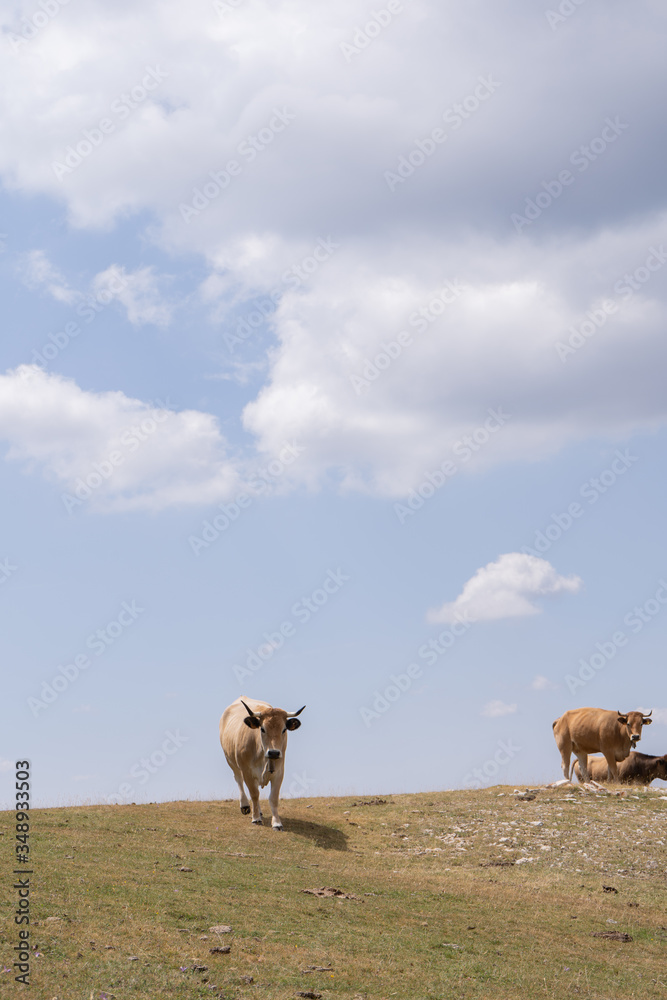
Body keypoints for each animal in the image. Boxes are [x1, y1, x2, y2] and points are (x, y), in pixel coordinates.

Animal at [220, 696, 305, 831]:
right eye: (262, 729)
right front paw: (255, 819)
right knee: (238, 779)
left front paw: (277, 823)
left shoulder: (279, 772)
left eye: (284, 729)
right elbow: (254, 794)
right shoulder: (247, 772)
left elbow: (273, 798)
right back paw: (245, 805)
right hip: (231, 761)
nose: (274, 752)